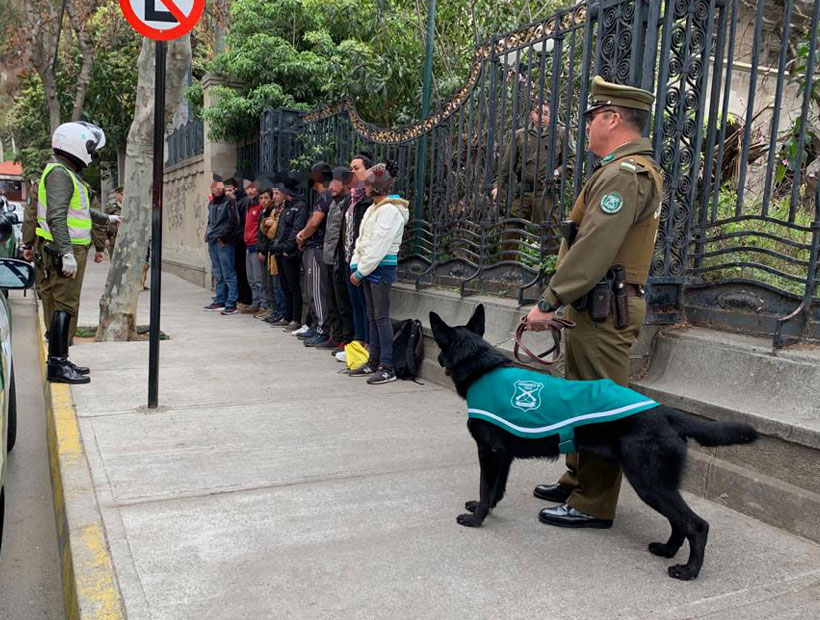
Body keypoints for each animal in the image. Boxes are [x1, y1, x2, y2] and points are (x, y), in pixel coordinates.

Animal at [432, 306, 760, 580]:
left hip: (649, 482)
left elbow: (486, 488)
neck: (482, 369)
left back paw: (688, 570)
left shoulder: (489, 453)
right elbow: (496, 489)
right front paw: (484, 508)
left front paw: (476, 518)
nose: (437, 359)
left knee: (696, 525)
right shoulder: (503, 456)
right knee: (680, 522)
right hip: (658, 484)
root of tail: (664, 411)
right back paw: (667, 550)